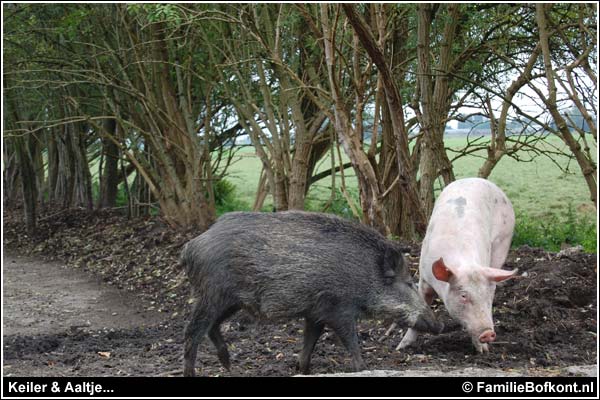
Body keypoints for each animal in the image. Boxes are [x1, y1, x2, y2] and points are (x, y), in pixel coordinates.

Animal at [398, 177, 516, 352]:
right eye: (463, 296)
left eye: (487, 296)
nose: (488, 333)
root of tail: (477, 179)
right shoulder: (424, 279)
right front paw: (400, 347)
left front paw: (484, 351)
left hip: (504, 240)